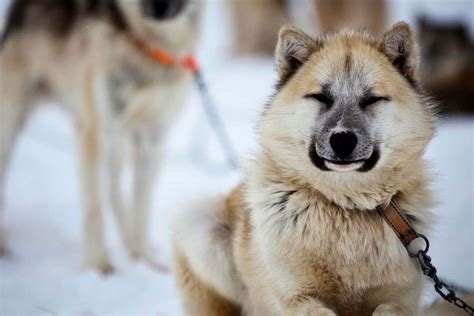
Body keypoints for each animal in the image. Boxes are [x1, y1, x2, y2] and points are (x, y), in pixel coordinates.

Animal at [0, 0, 201, 272]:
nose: (159, 9)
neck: (147, 46)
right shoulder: (95, 132)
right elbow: (94, 206)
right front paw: (98, 265)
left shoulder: (153, 137)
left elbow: (141, 208)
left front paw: (147, 260)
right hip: (11, 122)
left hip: (120, 146)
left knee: (115, 190)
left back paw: (131, 244)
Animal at [172, 22, 438, 316]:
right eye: (320, 97)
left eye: (372, 99)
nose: (342, 139)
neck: (346, 206)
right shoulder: (295, 298)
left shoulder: (401, 298)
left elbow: (389, 308)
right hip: (201, 225)